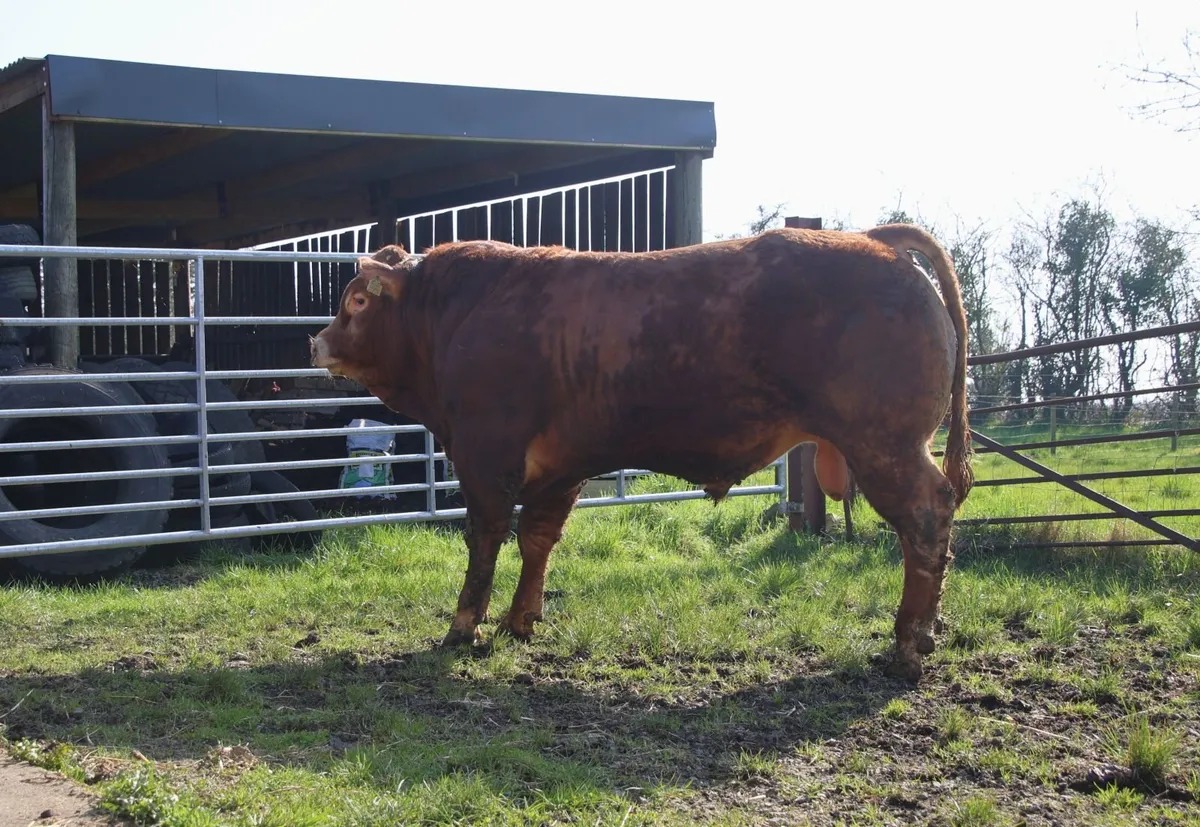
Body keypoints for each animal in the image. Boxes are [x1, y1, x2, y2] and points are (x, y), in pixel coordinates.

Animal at [310, 224, 973, 682]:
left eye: (358, 301)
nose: (316, 341)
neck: (454, 313)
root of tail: (874, 239)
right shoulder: (559, 471)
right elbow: (537, 542)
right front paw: (520, 621)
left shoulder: (484, 456)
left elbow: (486, 540)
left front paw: (462, 627)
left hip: (886, 446)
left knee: (926, 519)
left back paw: (910, 641)